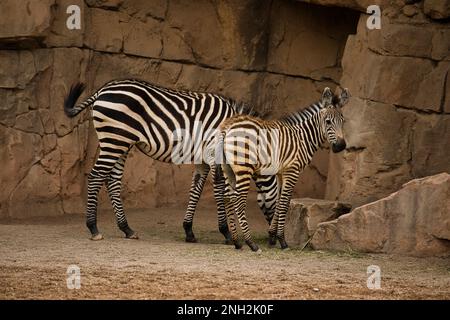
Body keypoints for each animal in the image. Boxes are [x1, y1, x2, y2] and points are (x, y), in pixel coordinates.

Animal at [63, 79, 278, 241]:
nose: (274, 238)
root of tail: (102, 89)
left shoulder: (202, 159)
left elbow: (196, 190)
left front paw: (189, 230)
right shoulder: (215, 154)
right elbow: (220, 190)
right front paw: (225, 232)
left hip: (120, 143)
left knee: (112, 180)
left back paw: (127, 229)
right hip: (115, 139)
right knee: (95, 177)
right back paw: (94, 228)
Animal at [220, 87, 350, 252]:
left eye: (343, 121)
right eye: (328, 122)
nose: (340, 146)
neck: (303, 137)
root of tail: (228, 128)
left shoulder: (281, 173)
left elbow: (279, 200)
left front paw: (272, 236)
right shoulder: (292, 171)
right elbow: (283, 203)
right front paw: (282, 240)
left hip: (227, 168)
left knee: (227, 197)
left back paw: (237, 241)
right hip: (244, 168)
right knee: (238, 199)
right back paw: (251, 243)